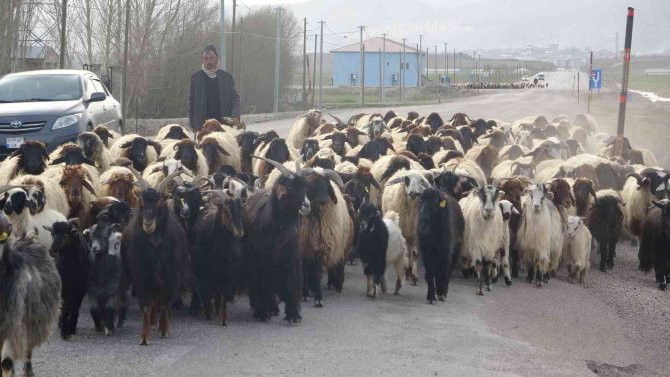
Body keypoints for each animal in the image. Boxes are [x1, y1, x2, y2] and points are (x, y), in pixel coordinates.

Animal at [0, 213, 59, 376]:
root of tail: (29, 237)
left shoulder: (14, 327)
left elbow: (6, 362)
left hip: (33, 322)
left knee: (27, 350)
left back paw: (28, 371)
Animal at [119, 170, 189, 344]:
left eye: (159, 204)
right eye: (141, 204)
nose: (148, 223)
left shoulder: (170, 276)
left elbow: (164, 304)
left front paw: (164, 329)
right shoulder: (141, 277)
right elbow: (146, 306)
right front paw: (144, 337)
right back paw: (151, 322)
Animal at [244, 156, 312, 324]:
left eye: (305, 187)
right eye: (290, 188)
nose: (306, 205)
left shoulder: (291, 259)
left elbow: (291, 284)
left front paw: (293, 315)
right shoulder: (260, 263)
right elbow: (261, 285)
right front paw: (262, 314)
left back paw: (274, 308)